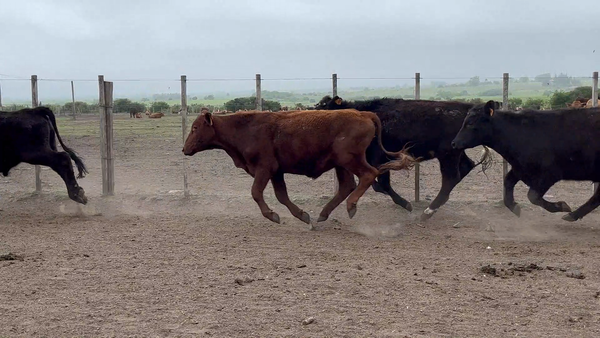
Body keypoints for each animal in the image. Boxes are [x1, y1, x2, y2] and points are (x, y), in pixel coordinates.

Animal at [183, 109, 418, 228]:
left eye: (195, 128)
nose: (184, 149)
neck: (245, 128)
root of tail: (364, 114)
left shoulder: (264, 169)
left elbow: (256, 193)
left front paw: (272, 215)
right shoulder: (276, 172)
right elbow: (282, 196)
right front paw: (303, 216)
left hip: (349, 159)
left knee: (368, 175)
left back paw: (351, 207)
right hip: (340, 164)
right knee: (347, 186)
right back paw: (322, 214)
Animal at [316, 95, 494, 222]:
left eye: (327, 110)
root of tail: (464, 108)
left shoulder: (379, 158)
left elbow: (383, 184)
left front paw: (407, 205)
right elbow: (377, 184)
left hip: (448, 155)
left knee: (451, 178)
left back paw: (428, 211)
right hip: (455, 151)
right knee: (466, 167)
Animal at [452, 100, 600, 222]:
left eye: (470, 123)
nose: (454, 143)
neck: (521, 133)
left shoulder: (549, 174)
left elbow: (532, 196)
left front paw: (560, 205)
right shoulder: (520, 169)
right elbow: (507, 184)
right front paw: (515, 208)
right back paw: (572, 215)